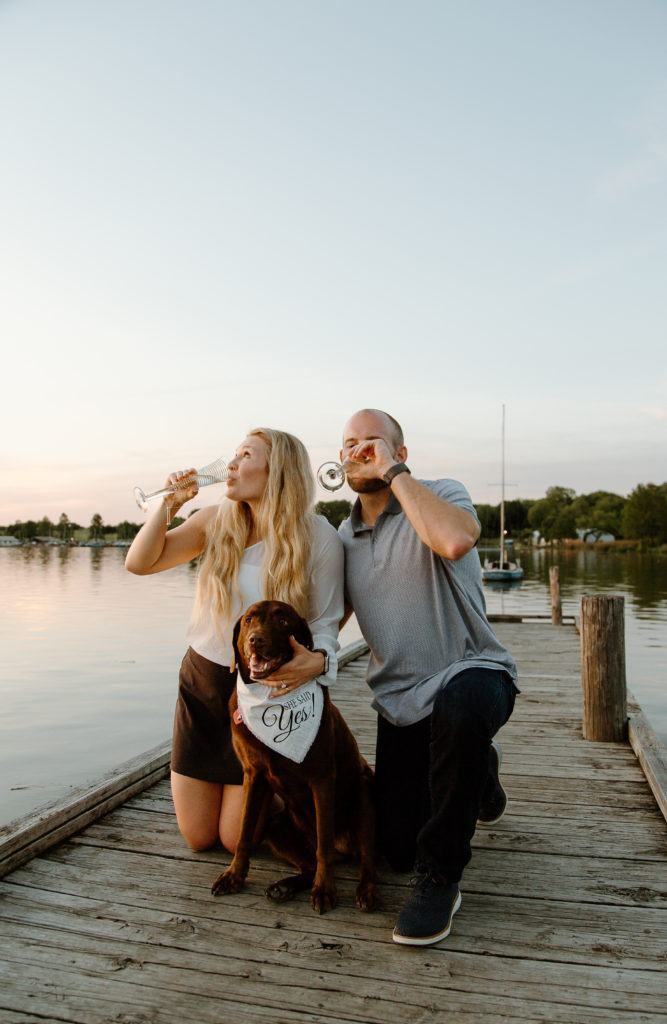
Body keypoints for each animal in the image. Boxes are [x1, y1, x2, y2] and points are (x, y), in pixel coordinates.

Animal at [211, 598, 374, 913]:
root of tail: (345, 849)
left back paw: (365, 892)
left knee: (364, 860)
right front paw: (234, 876)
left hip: (365, 793)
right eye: (248, 620)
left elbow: (324, 844)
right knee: (308, 864)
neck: (270, 696)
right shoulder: (254, 775)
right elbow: (243, 833)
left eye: (283, 621)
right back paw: (283, 887)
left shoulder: (322, 778)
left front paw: (325, 890)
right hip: (276, 826)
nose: (255, 639)